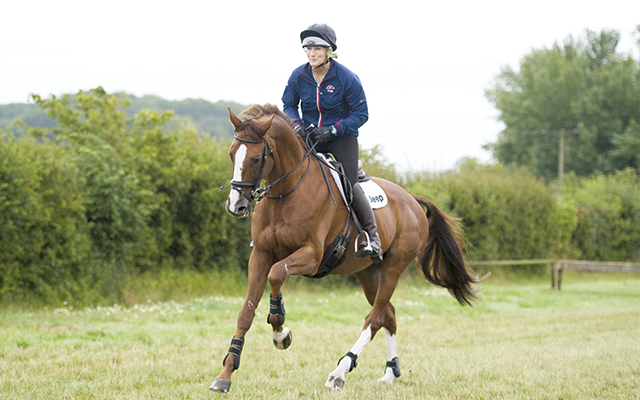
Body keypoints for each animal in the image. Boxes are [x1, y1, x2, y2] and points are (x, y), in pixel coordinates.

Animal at [209, 104, 482, 393]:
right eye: (231, 154)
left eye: (255, 159)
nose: (236, 206)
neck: (285, 194)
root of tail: (410, 198)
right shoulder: (260, 255)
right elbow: (246, 312)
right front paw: (225, 375)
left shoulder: (311, 256)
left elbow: (277, 273)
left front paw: (280, 331)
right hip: (368, 271)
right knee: (388, 315)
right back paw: (390, 372)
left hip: (395, 265)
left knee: (373, 319)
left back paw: (339, 371)